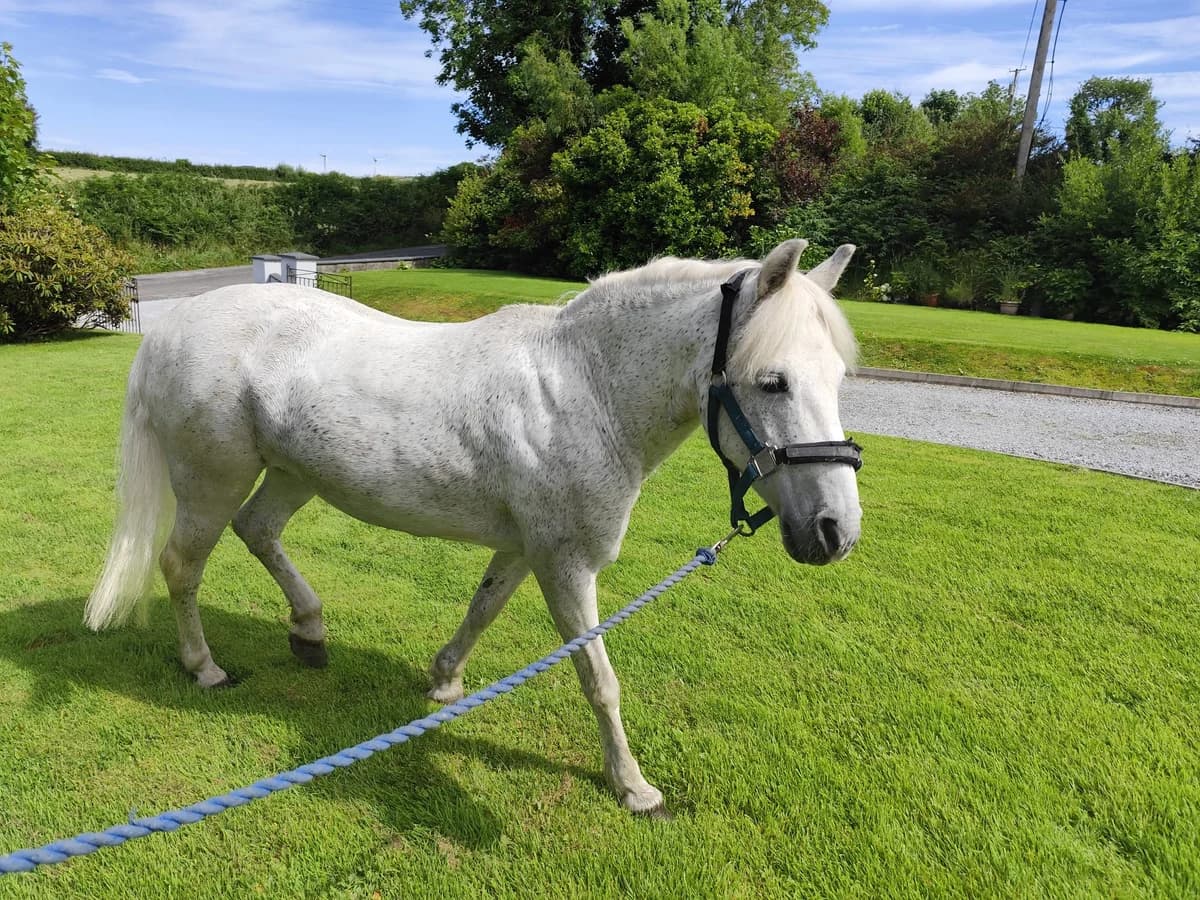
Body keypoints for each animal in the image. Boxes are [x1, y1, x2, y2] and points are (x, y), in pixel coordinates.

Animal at [84, 238, 863, 817]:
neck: (586, 389)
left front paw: (444, 682)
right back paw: (205, 667)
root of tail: (173, 328)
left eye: (838, 379)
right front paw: (633, 786)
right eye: (772, 382)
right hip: (210, 483)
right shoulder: (565, 565)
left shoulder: (524, 549)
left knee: (259, 531)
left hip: (291, 475)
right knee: (182, 565)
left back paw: (309, 630)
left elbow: (482, 610)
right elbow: (597, 677)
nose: (835, 531)